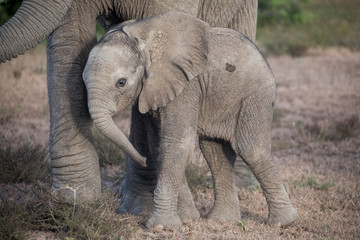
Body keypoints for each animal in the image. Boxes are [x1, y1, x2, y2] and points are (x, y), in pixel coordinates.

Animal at [83, 10, 298, 227]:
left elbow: (176, 144)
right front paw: (188, 218)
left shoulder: (185, 87)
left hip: (255, 95)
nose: (142, 160)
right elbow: (159, 147)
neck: (146, 42)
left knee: (251, 149)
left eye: (121, 82)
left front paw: (161, 225)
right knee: (214, 149)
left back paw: (283, 222)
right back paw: (222, 219)